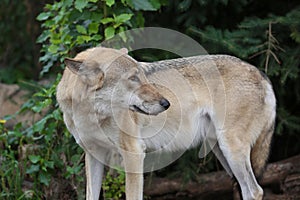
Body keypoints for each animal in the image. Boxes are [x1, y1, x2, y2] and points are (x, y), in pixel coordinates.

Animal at [55, 46, 276, 200]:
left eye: (143, 76)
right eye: (133, 78)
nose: (166, 103)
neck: (90, 116)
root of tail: (261, 73)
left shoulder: (134, 153)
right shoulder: (94, 155)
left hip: (231, 149)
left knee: (255, 190)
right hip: (222, 152)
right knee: (246, 189)